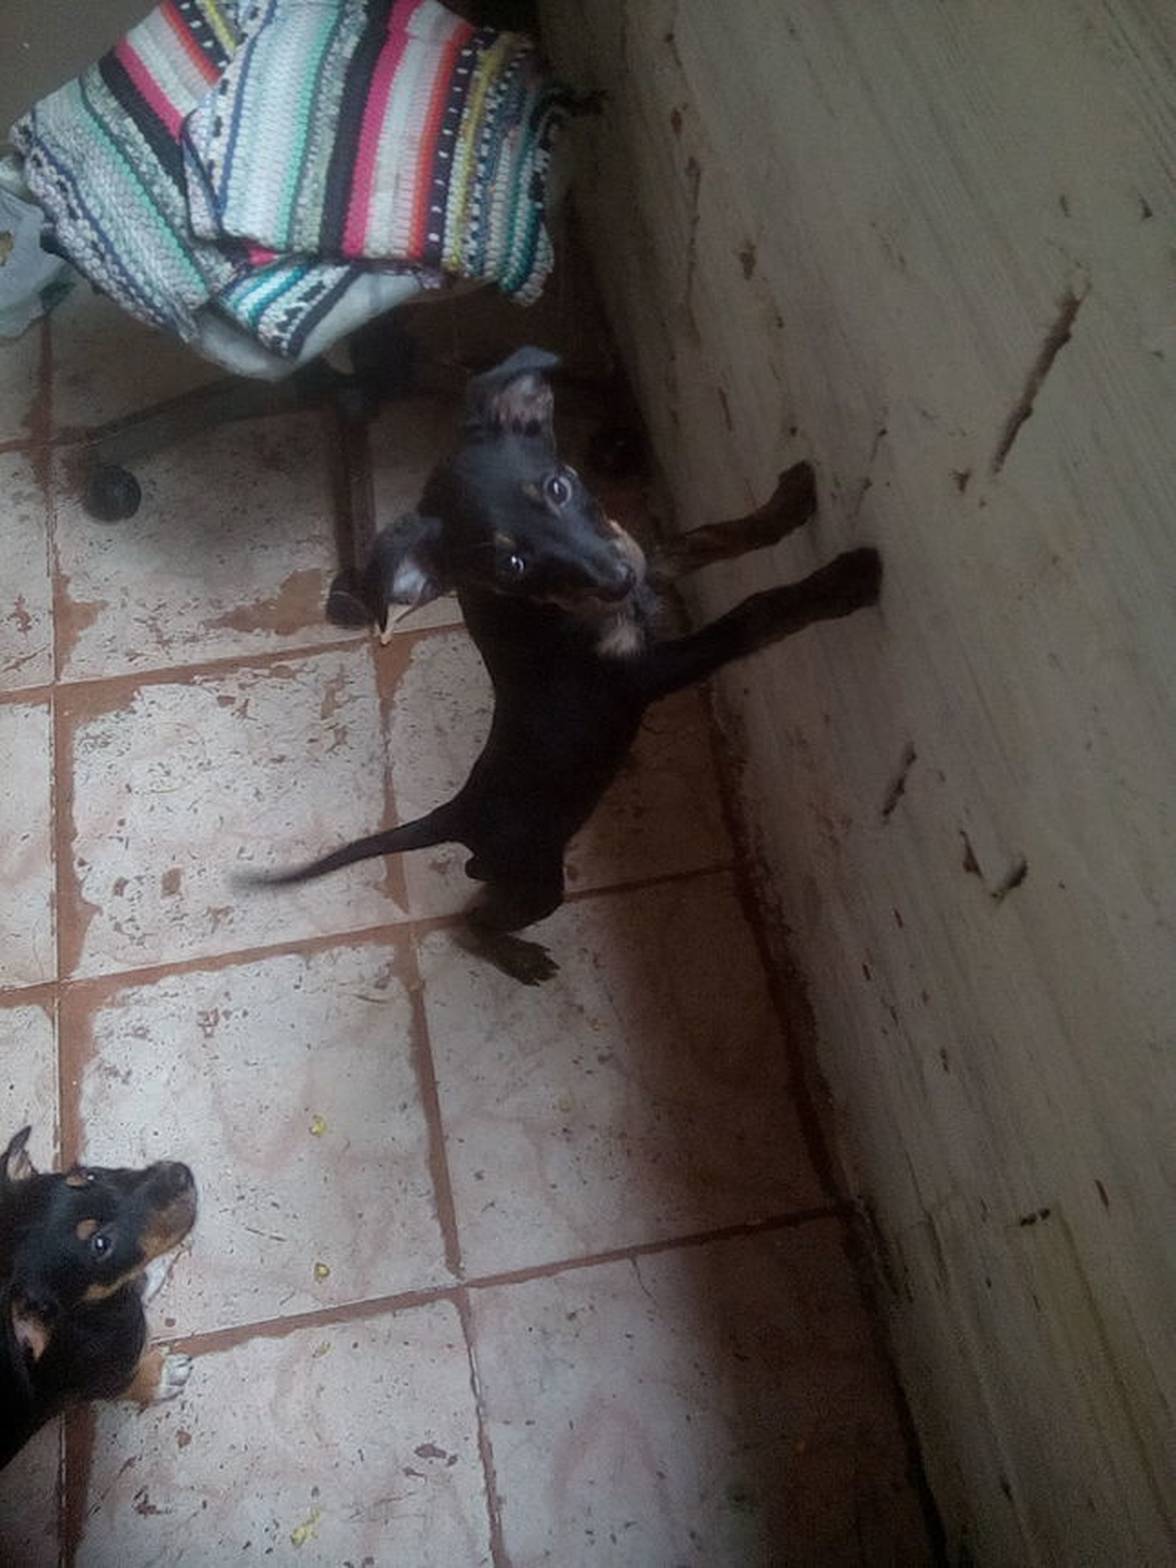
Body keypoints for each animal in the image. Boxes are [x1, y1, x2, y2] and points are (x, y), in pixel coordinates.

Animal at [1, 1126, 197, 1469]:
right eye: (101, 1244)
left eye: (89, 1176)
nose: (181, 1174)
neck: (87, 1312)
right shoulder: (96, 1381)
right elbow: (130, 1381)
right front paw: (162, 1377)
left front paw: (154, 1267)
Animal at [241, 347, 881, 982]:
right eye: (512, 565)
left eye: (558, 487)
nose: (617, 579)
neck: (552, 610)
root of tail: (458, 813)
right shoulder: (647, 674)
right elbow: (751, 615)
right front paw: (841, 582)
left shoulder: (642, 565)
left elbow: (703, 538)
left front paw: (787, 504)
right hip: (538, 878)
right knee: (474, 919)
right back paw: (519, 958)